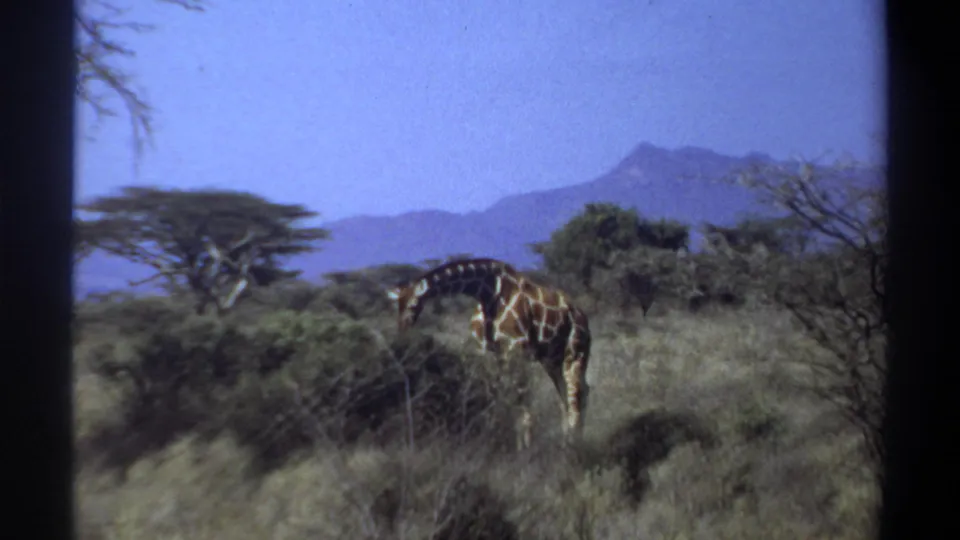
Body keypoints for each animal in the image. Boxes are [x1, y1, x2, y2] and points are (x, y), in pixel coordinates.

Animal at [385, 257, 591, 450]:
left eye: (412, 306)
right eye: (397, 307)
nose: (402, 333)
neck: (486, 292)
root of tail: (582, 315)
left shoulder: (517, 348)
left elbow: (521, 399)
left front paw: (525, 448)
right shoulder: (489, 352)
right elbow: (497, 395)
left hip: (575, 351)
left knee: (575, 393)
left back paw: (575, 445)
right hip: (552, 359)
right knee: (569, 395)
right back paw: (566, 443)